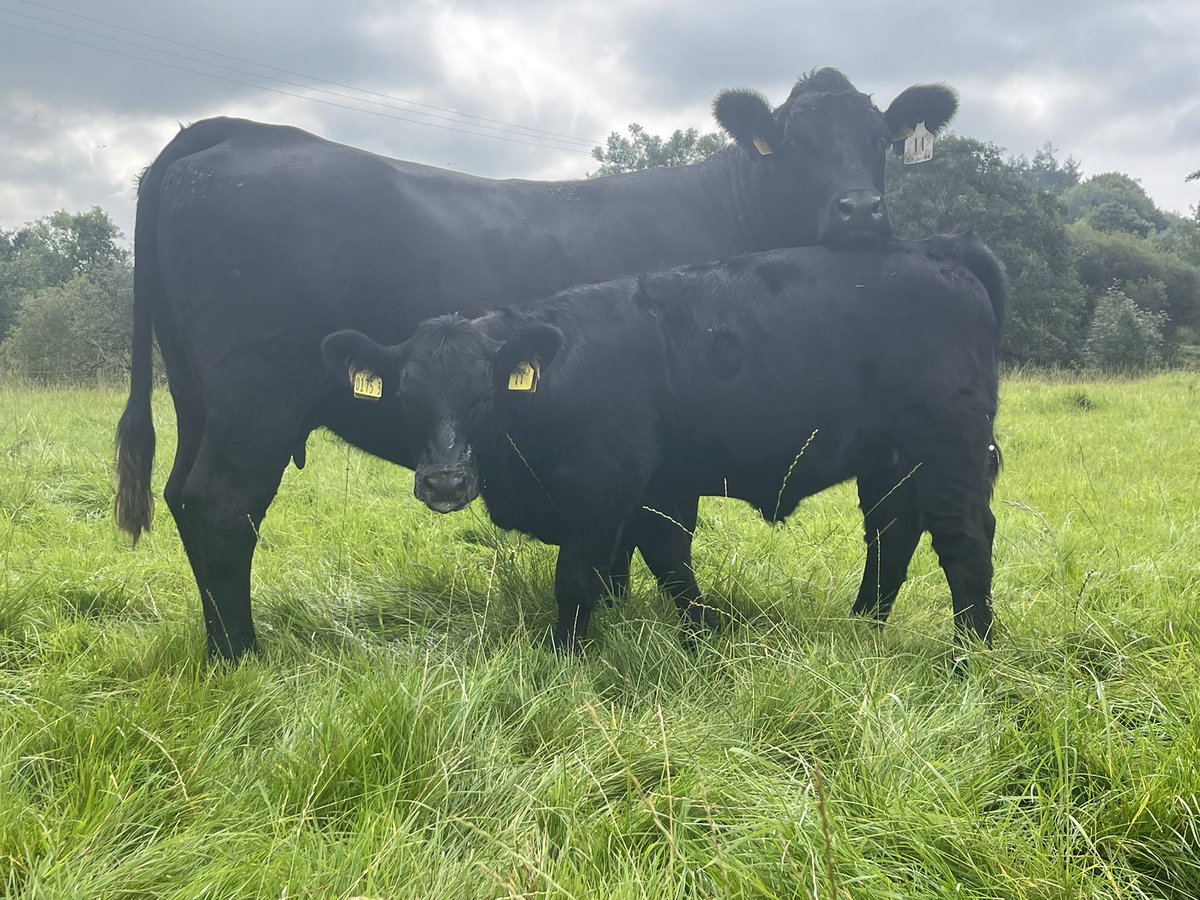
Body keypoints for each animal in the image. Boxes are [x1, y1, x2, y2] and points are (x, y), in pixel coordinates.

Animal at [320, 234, 1005, 655]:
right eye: (407, 398)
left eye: (484, 396)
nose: (444, 481)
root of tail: (941, 249)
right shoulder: (657, 492)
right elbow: (668, 565)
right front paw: (706, 637)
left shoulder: (604, 487)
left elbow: (580, 579)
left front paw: (565, 659)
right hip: (890, 462)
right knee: (891, 533)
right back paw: (863, 626)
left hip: (950, 453)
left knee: (964, 543)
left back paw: (968, 657)